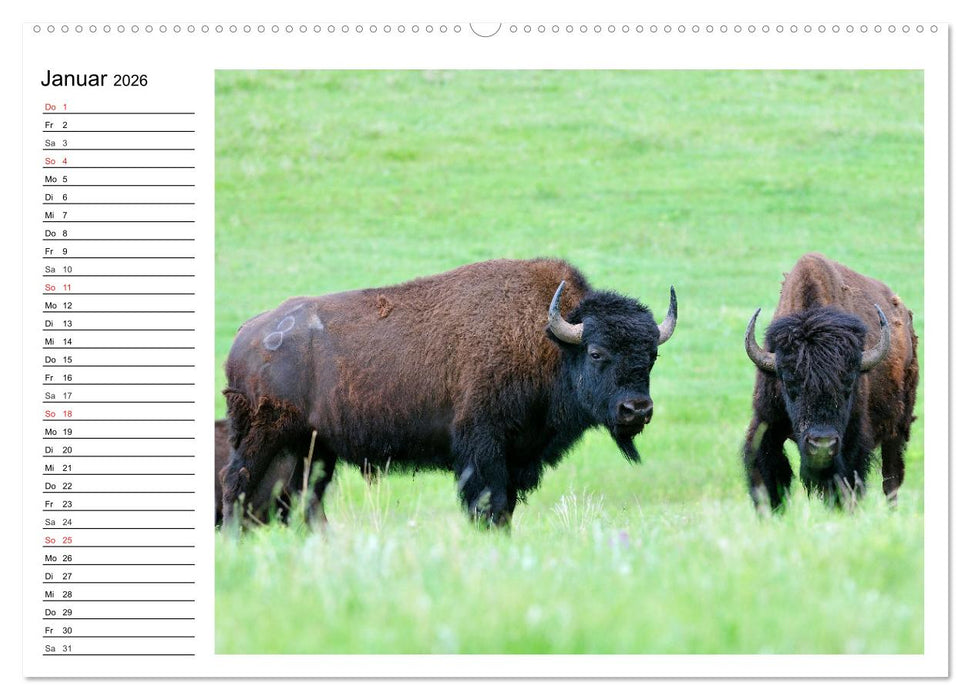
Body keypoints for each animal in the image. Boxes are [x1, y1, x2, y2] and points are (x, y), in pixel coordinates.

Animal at [219, 258, 677, 526]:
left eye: (652, 355)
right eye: (597, 352)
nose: (637, 409)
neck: (549, 341)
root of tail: (247, 334)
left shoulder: (516, 457)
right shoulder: (483, 449)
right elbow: (490, 505)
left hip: (310, 449)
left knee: (299, 500)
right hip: (264, 437)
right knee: (237, 483)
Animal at [743, 253, 919, 509]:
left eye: (849, 384)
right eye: (789, 384)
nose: (822, 445)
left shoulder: (853, 440)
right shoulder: (766, 424)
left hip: (898, 427)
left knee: (892, 478)